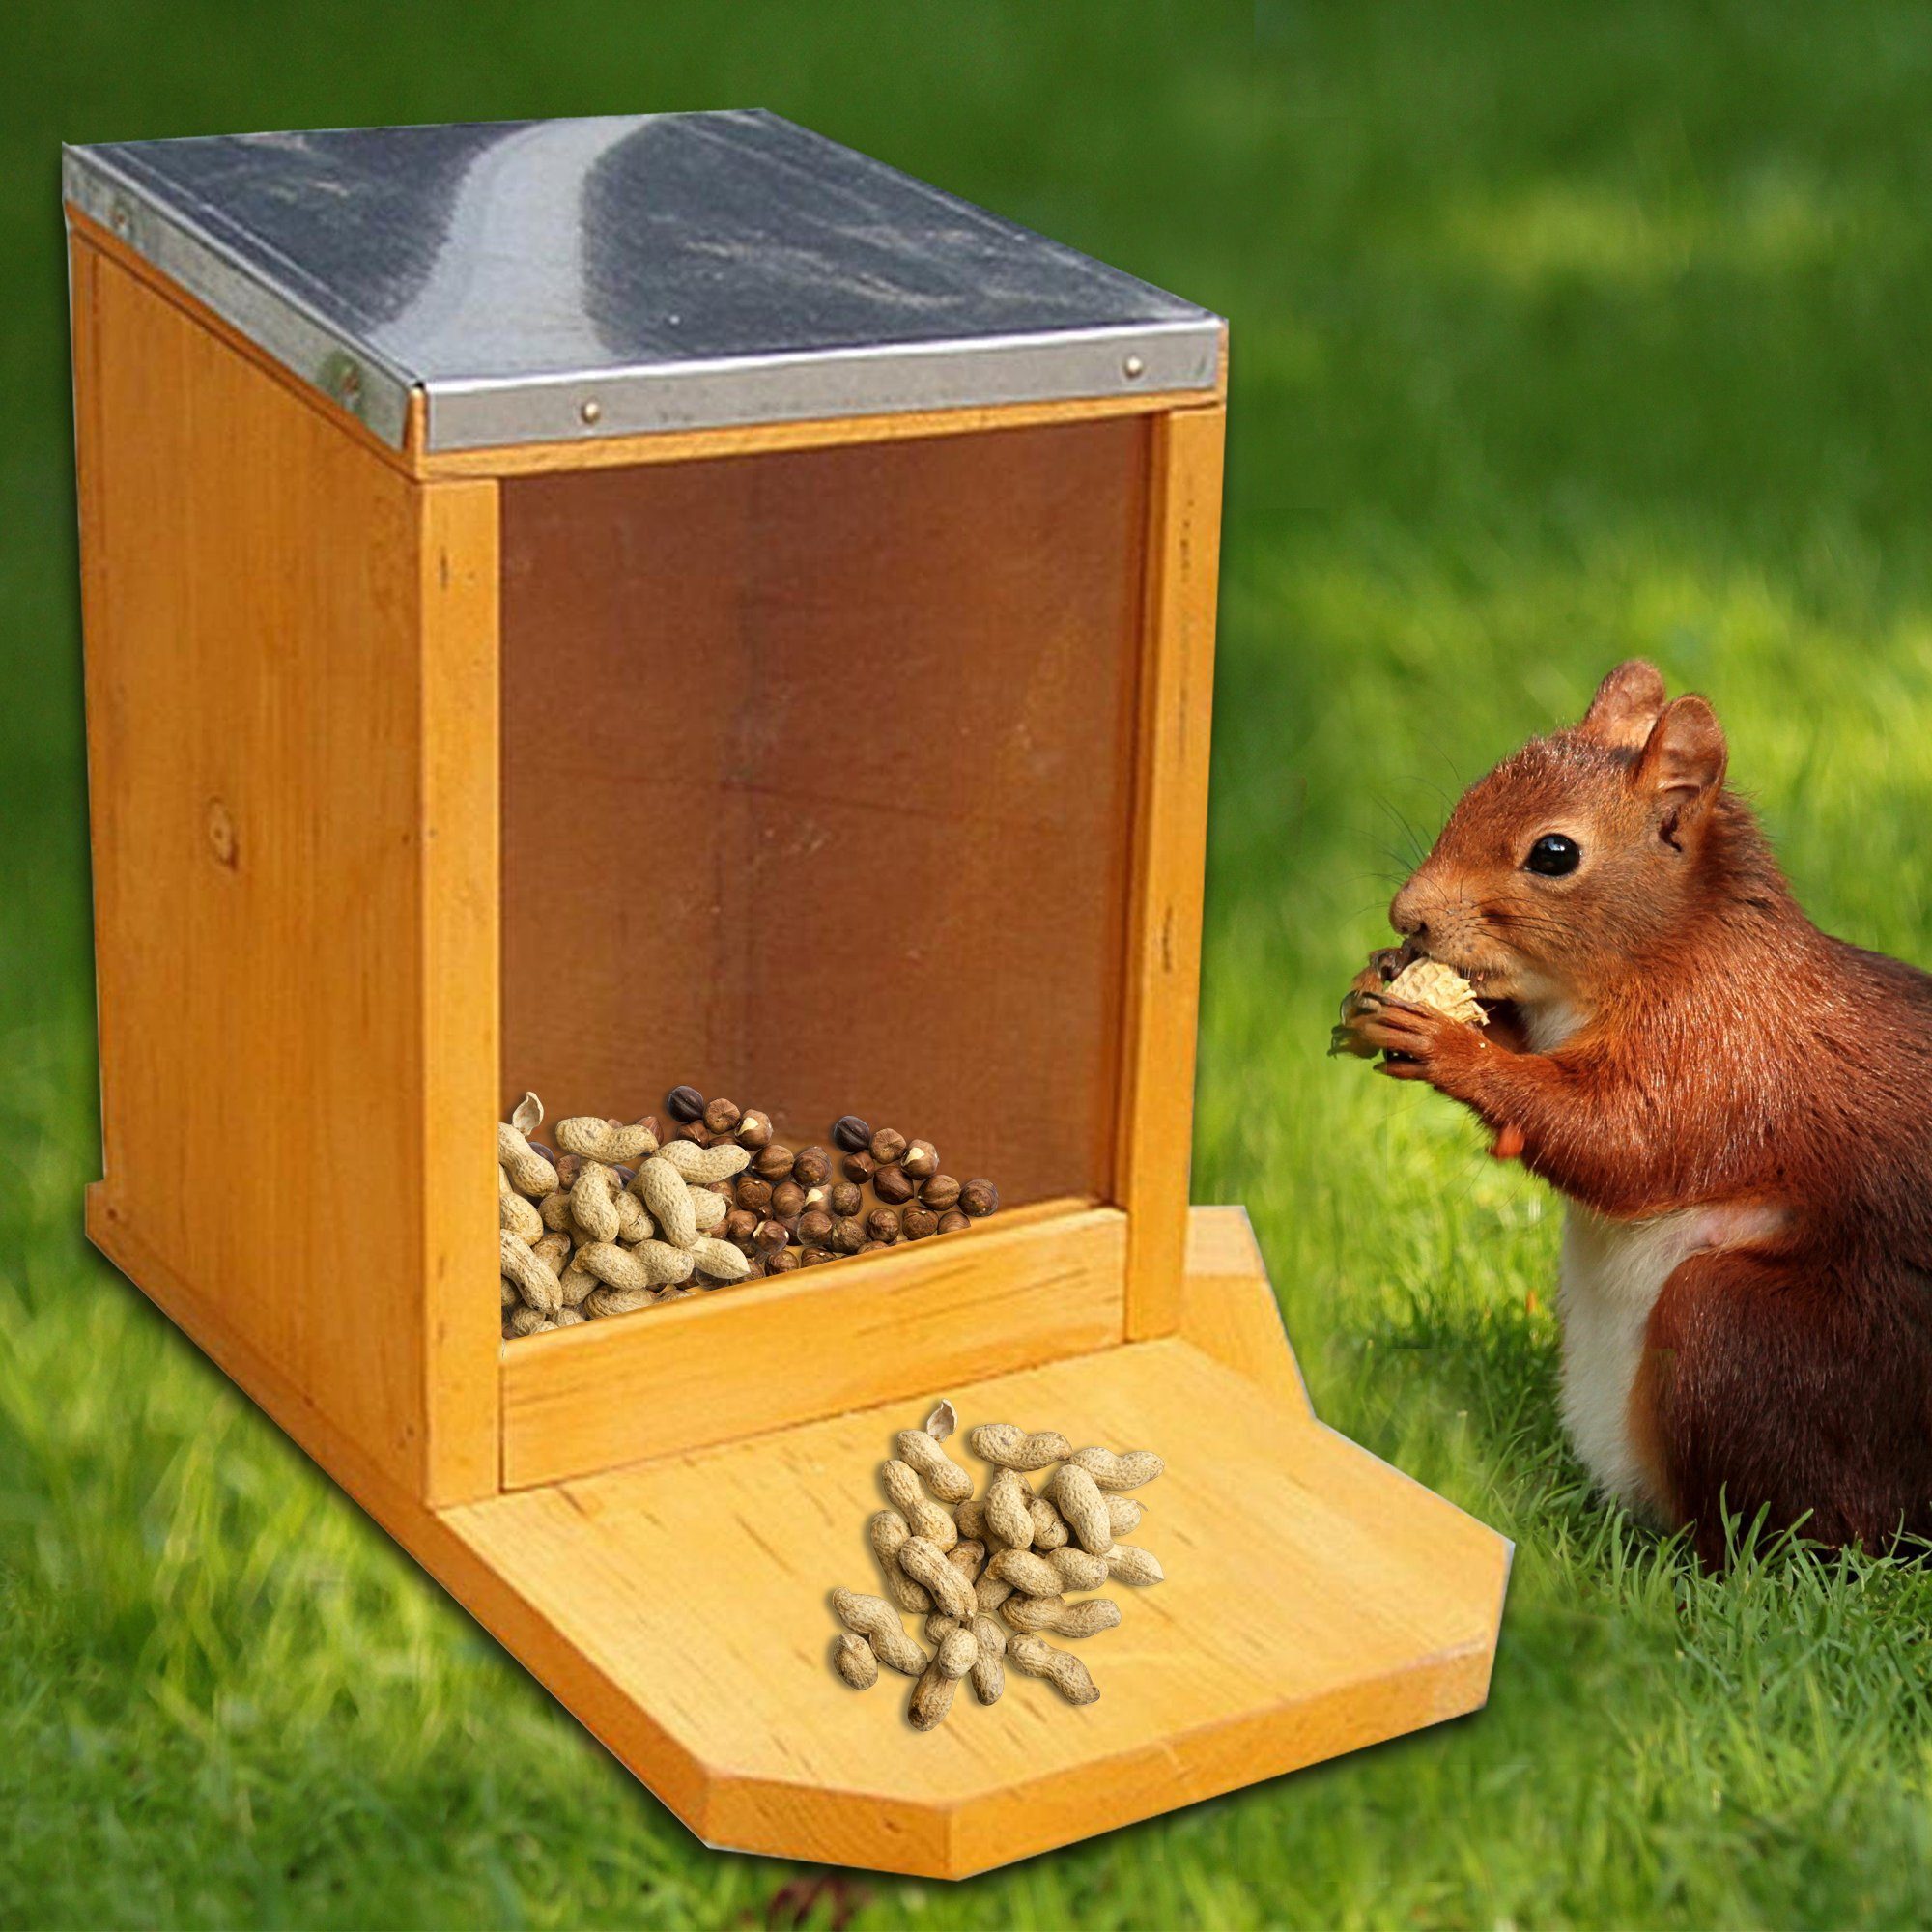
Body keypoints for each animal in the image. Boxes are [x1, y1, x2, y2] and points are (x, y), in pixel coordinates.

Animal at [1352, 657, 1932, 1561]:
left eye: (1554, 853)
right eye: (1473, 790)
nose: (1405, 915)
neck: (1669, 949)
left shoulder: (1719, 1052)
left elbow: (1624, 1143)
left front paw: (1448, 1045)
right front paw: (1390, 977)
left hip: (1746, 1343)